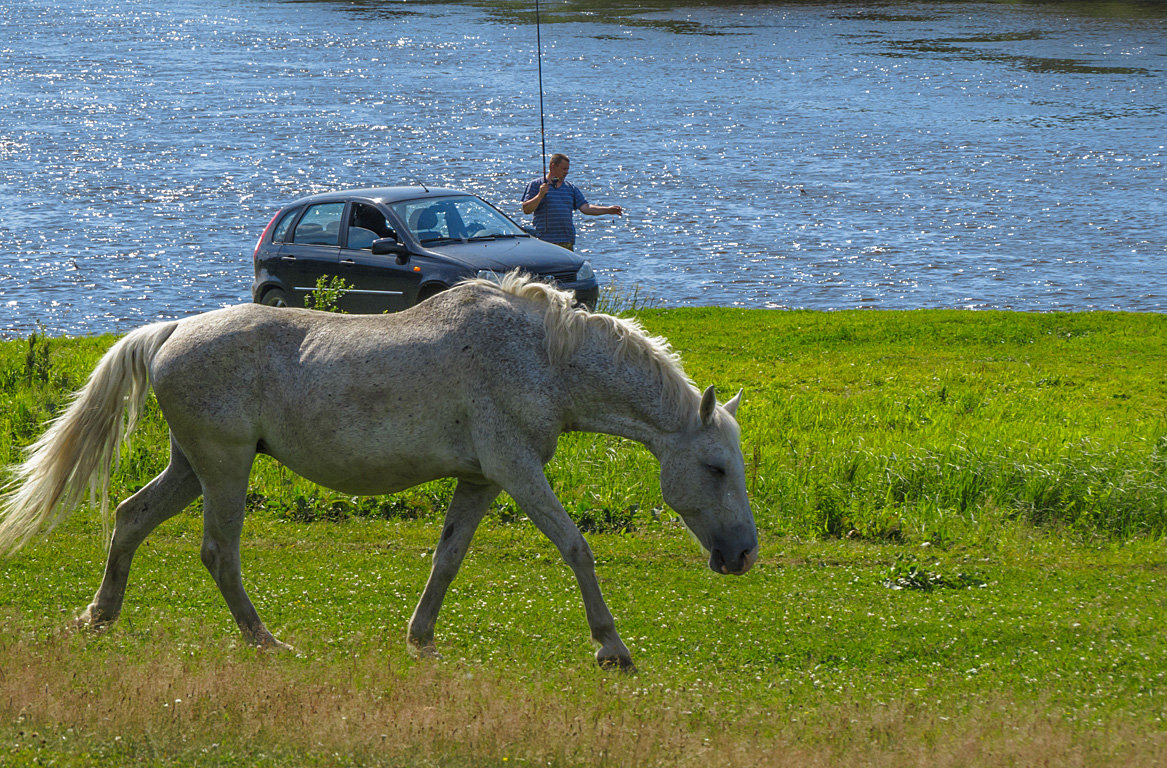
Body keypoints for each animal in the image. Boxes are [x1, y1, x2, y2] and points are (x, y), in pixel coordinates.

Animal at [0, 271, 756, 667]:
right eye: (716, 467)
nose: (744, 555)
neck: (542, 356)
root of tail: (172, 331)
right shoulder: (515, 470)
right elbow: (576, 546)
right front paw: (611, 648)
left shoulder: (481, 480)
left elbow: (447, 559)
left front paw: (420, 638)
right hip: (223, 468)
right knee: (218, 552)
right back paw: (265, 640)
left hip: (192, 466)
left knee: (131, 520)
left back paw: (99, 616)